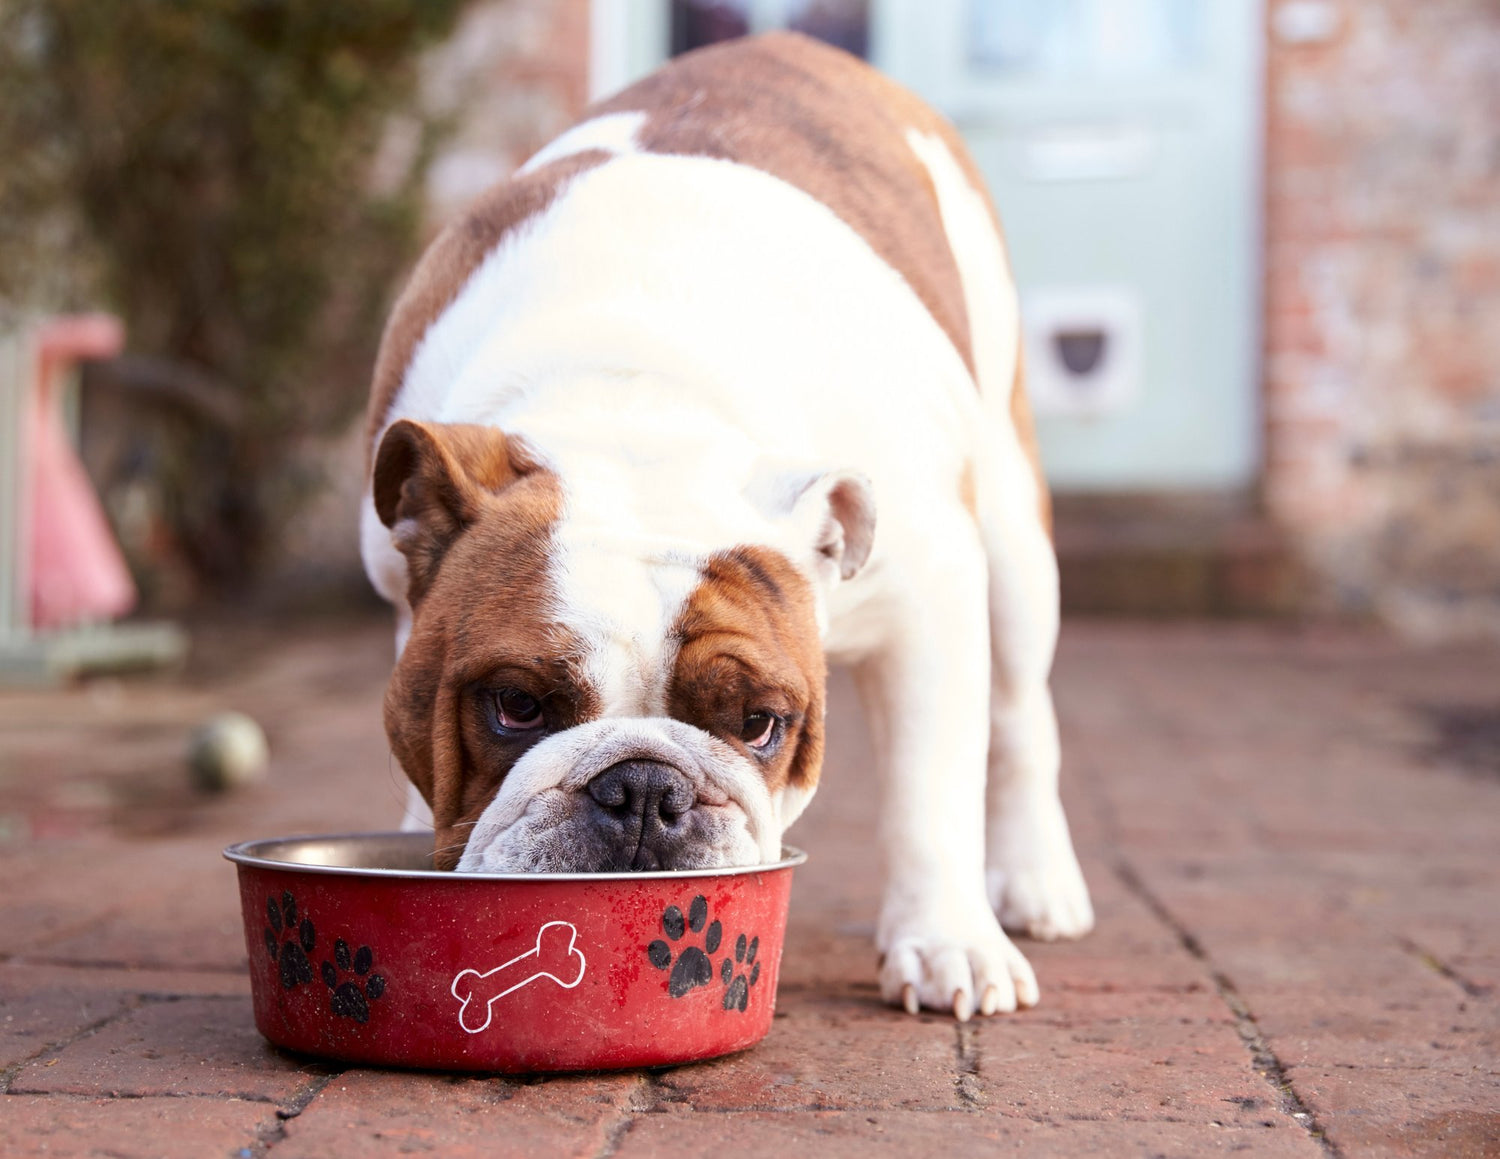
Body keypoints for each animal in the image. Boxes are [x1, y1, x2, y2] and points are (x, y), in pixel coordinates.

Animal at [360, 31, 1092, 1019]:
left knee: (1019, 715)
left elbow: (930, 789)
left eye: (759, 724)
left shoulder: (931, 595)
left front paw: (949, 941)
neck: (636, 408)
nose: (641, 788)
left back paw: (1037, 880)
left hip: (1013, 541)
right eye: (515, 705)